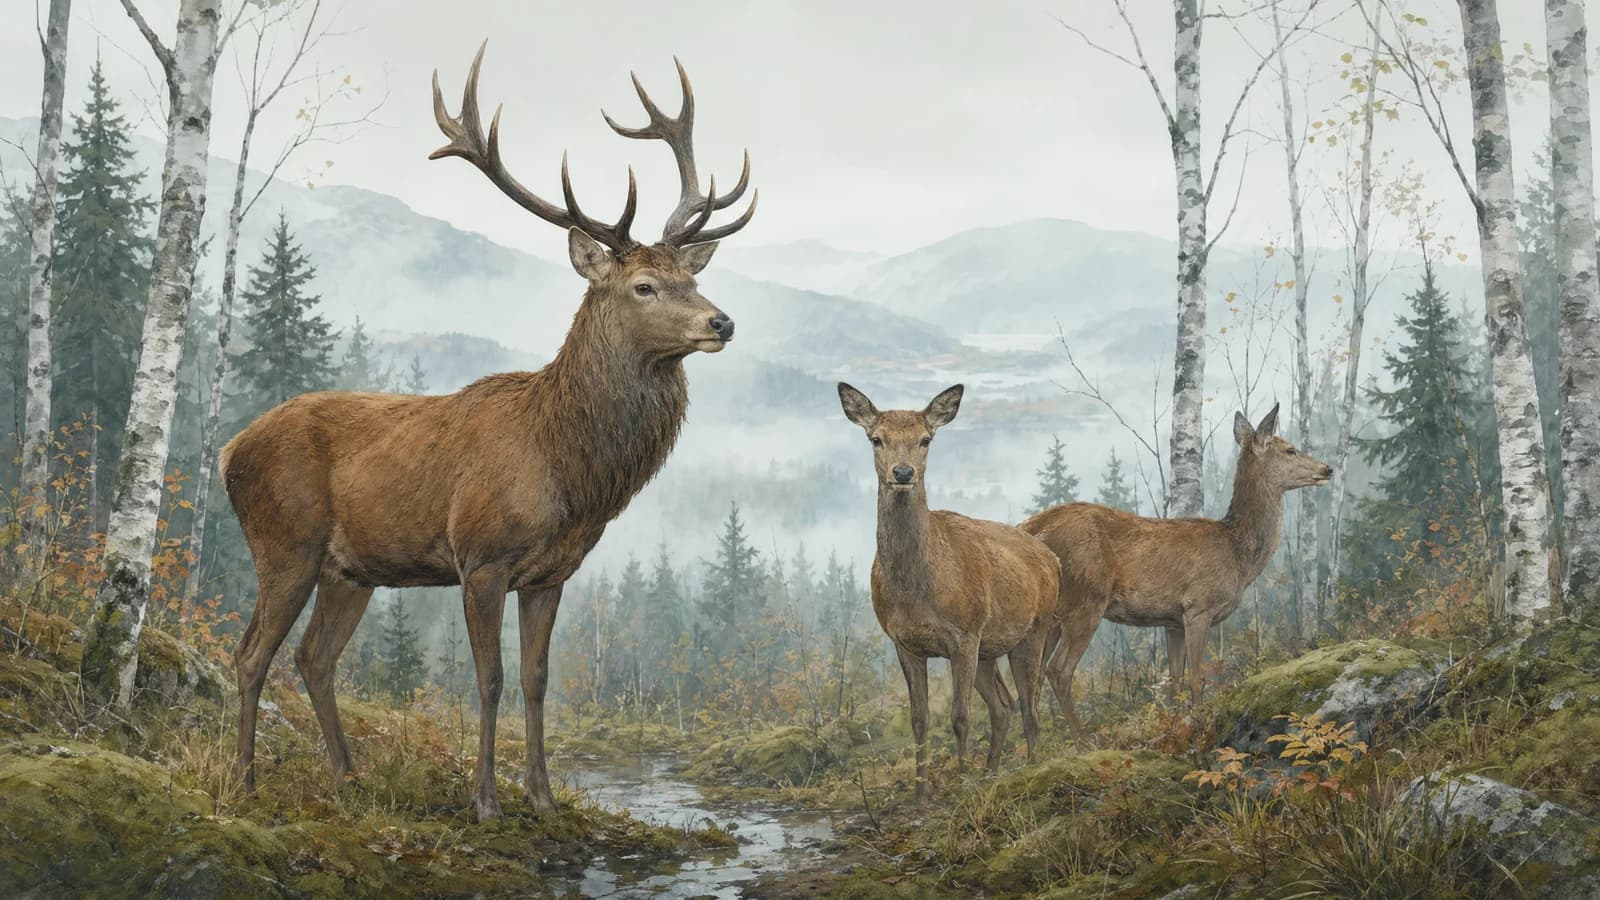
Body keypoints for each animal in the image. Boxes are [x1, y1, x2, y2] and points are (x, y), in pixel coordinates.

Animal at [222, 43, 757, 822]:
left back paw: (349, 777)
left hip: (350, 569)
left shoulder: (553, 572)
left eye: (690, 277)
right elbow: (490, 678)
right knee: (251, 653)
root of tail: (229, 450)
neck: (568, 471)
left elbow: (537, 680)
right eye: (644, 287)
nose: (722, 321)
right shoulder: (480, 556)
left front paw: (541, 795)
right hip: (284, 542)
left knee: (314, 658)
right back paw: (245, 781)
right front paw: (484, 801)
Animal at [838, 383, 1059, 803]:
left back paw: (1031, 769)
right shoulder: (904, 642)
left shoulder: (964, 634)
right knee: (1003, 705)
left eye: (925, 439)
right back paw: (991, 774)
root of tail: (1053, 558)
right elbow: (920, 719)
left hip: (1034, 630)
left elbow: (960, 716)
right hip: (990, 647)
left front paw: (961, 785)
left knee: (1031, 706)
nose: (902, 472)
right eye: (876, 438)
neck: (918, 590)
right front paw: (921, 795)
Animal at [1021, 404, 1332, 735]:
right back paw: (1083, 740)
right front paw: (1198, 723)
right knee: (1059, 671)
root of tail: (1031, 528)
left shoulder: (1172, 621)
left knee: (1030, 681)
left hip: (1052, 616)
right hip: (1086, 600)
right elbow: (1196, 677)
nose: (1327, 469)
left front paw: (1174, 724)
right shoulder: (1198, 606)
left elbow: (1175, 681)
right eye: (1290, 449)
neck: (1238, 555)